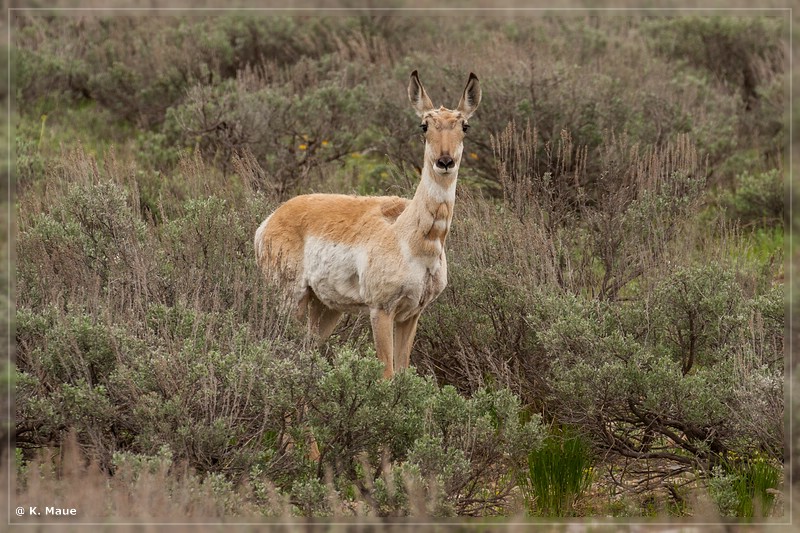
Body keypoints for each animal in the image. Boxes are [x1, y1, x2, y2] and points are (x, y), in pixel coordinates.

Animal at [256, 70, 482, 378]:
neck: (409, 236)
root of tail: (274, 217)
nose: (444, 161)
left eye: (465, 126)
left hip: (326, 308)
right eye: (424, 126)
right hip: (289, 298)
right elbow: (387, 374)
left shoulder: (412, 314)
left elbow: (403, 372)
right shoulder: (381, 310)